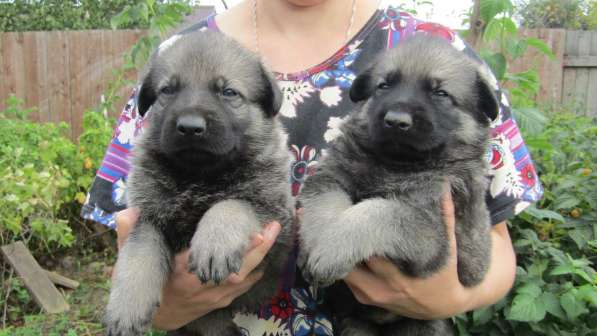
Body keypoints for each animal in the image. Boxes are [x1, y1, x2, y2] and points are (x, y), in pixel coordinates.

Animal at [105, 30, 296, 336]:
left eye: (228, 92)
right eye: (167, 90)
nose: (190, 127)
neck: (199, 176)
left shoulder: (275, 215)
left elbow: (231, 205)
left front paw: (214, 245)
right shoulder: (148, 215)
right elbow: (138, 252)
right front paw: (127, 306)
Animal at [298, 34, 498, 336]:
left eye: (440, 94)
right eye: (384, 86)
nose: (395, 121)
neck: (394, 163)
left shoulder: (429, 231)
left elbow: (374, 212)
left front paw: (331, 252)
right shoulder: (331, 176)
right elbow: (323, 208)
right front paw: (314, 245)